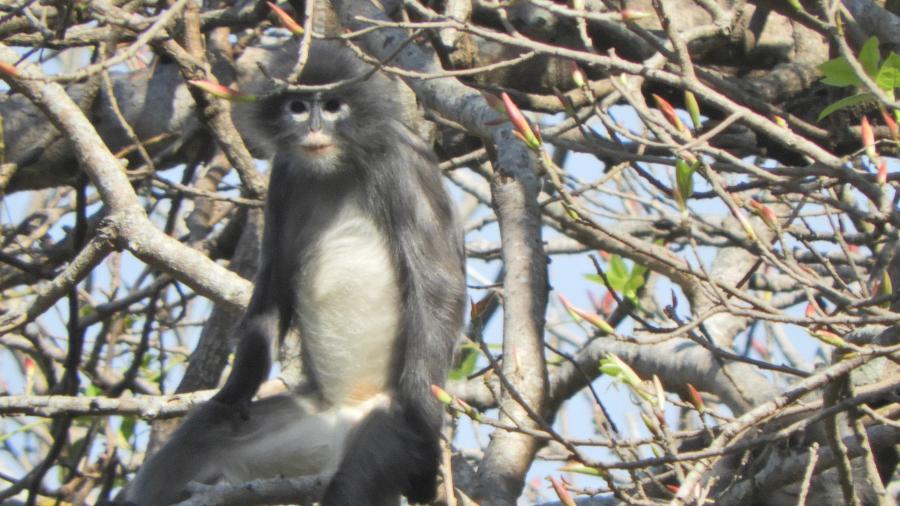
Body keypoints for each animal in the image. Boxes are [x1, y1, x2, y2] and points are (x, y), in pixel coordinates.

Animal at [121, 41, 464, 506]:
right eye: (298, 107)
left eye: (333, 106)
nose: (315, 127)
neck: (336, 167)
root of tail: (345, 417)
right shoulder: (283, 176)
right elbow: (271, 289)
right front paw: (234, 389)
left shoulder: (403, 161)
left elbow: (437, 287)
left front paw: (426, 436)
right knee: (210, 431)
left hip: (378, 425)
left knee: (363, 467)